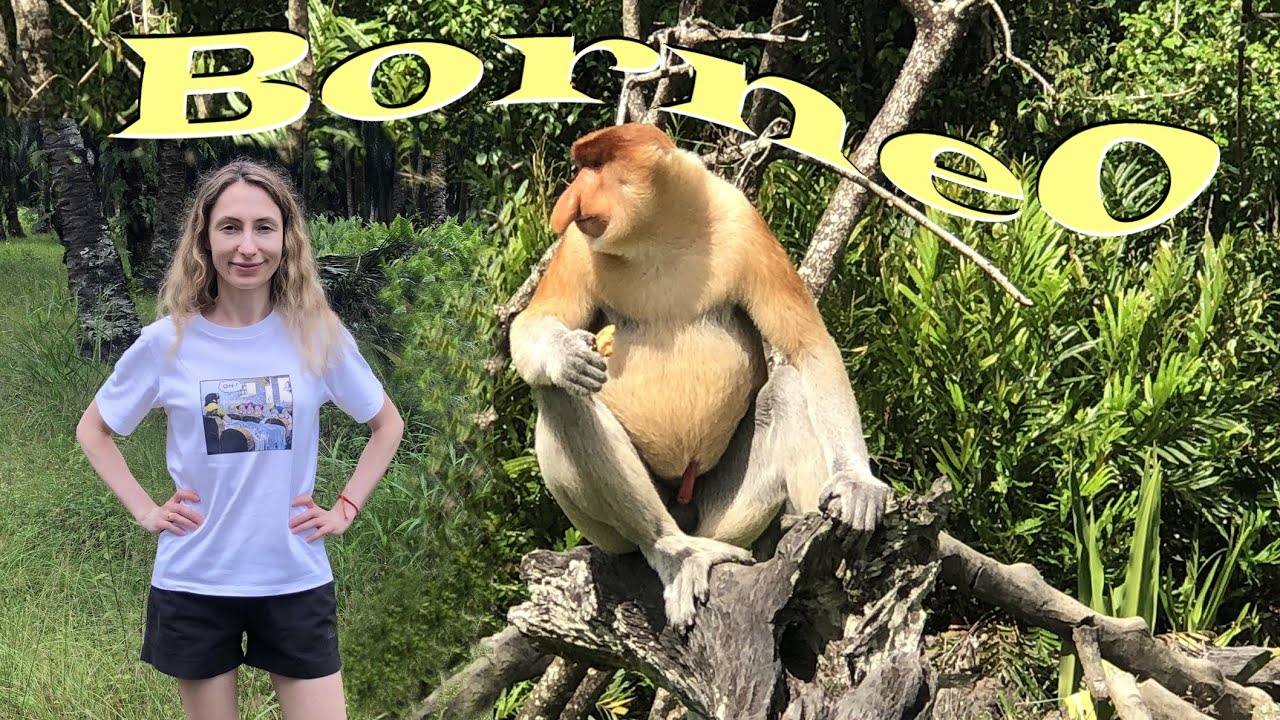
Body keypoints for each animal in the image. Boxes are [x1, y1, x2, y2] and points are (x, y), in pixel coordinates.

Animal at [509, 123, 890, 631]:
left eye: (595, 166)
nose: (568, 200)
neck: (657, 235)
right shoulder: (575, 246)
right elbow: (531, 325)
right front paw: (566, 355)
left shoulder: (744, 225)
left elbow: (808, 347)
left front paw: (857, 485)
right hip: (608, 532)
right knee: (561, 398)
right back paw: (677, 554)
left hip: (727, 514)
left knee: (789, 387)